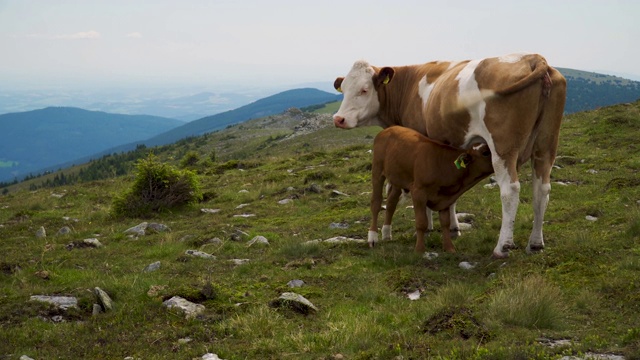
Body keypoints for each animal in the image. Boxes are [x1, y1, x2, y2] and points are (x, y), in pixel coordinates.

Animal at [332, 52, 568, 258]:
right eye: (343, 90)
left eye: (364, 90)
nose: (338, 119)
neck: (408, 86)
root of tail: (532, 58)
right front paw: (452, 228)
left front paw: (428, 226)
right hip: (546, 144)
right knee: (542, 190)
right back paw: (535, 243)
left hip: (503, 148)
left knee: (510, 190)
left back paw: (502, 247)